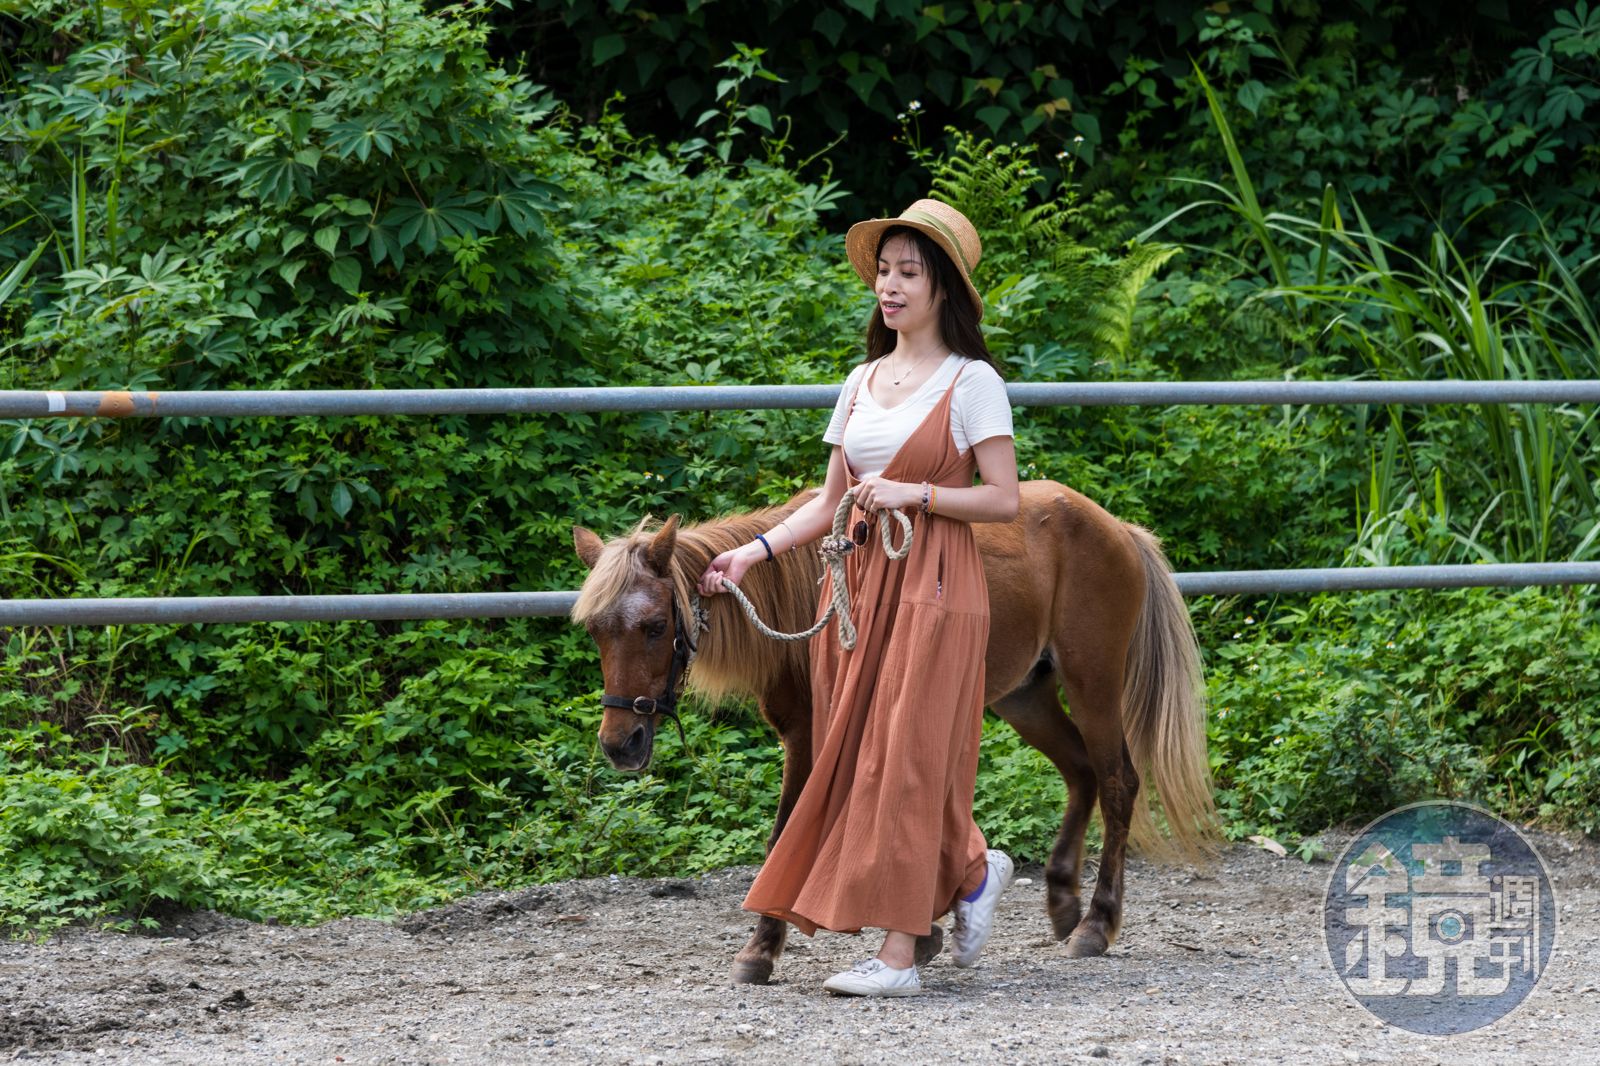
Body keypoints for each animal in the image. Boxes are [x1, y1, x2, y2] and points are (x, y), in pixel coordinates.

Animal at [571, 479, 1215, 984]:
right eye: (596, 630)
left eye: (655, 626)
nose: (620, 743)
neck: (804, 602)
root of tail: (1117, 528)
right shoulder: (806, 734)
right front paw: (925, 928)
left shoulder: (814, 737)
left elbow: (794, 831)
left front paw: (763, 947)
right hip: (1025, 697)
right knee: (1081, 773)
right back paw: (1061, 900)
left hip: (1092, 686)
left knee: (1118, 782)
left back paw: (1096, 924)